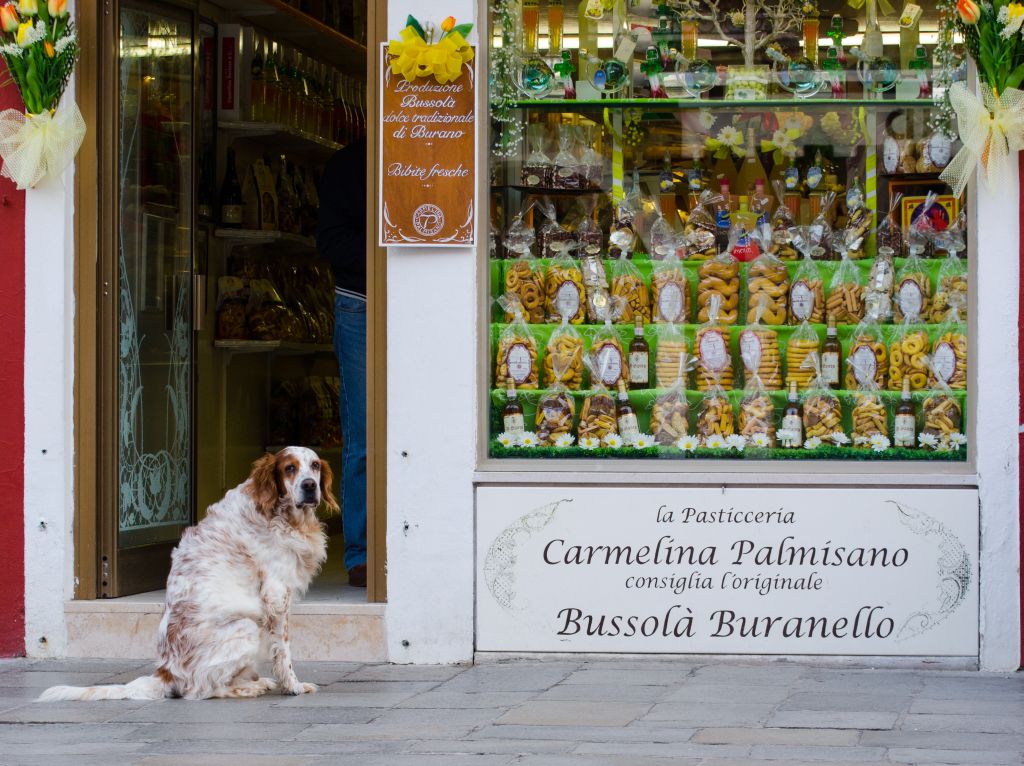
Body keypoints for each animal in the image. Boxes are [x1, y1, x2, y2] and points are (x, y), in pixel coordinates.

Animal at [41, 446, 337, 704]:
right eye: (290, 468)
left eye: (314, 465)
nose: (309, 485)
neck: (279, 513)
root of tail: (165, 674)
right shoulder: (276, 594)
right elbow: (284, 651)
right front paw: (293, 686)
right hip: (247, 627)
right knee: (201, 690)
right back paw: (248, 688)